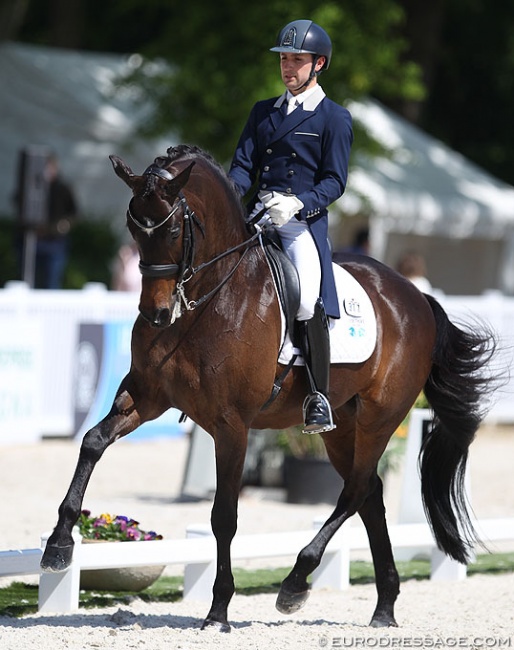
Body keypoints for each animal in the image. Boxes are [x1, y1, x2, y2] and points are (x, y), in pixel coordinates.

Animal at [40, 144, 492, 632]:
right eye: (131, 227)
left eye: (175, 228)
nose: (156, 314)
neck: (209, 298)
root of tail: (416, 297)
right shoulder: (147, 396)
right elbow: (92, 441)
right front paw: (59, 545)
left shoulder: (232, 425)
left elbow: (224, 516)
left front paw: (219, 610)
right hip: (341, 426)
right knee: (369, 492)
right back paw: (384, 607)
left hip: (380, 417)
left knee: (355, 491)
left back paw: (295, 584)